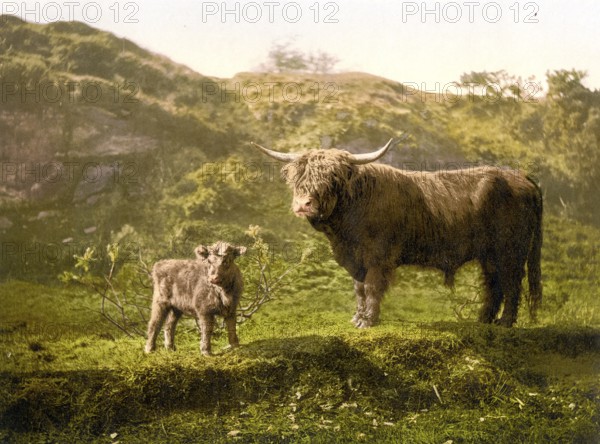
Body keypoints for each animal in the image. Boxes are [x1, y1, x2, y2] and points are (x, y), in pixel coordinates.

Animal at [251, 137, 540, 328]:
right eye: (297, 178)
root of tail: (521, 178)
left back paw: (505, 323)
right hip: (489, 254)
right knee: (494, 283)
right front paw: (357, 317)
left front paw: (368, 321)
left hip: (510, 251)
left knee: (512, 282)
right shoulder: (354, 258)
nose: (303, 204)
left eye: (332, 178)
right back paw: (483, 321)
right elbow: (358, 288)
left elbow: (372, 286)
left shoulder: (378, 256)